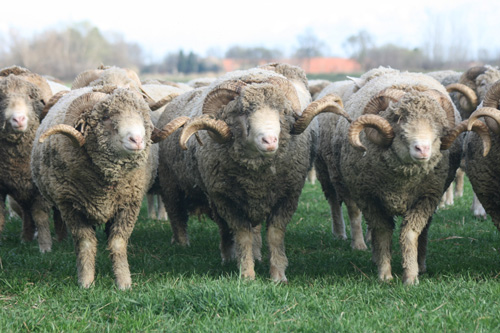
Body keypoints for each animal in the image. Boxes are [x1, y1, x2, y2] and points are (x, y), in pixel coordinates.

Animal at [0, 65, 69, 252]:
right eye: (1, 98)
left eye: (31, 98)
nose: (18, 119)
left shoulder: (39, 189)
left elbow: (40, 216)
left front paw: (45, 247)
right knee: (25, 212)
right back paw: (26, 237)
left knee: (58, 212)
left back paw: (61, 239)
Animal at [30, 85, 176, 288]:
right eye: (106, 117)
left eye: (142, 115)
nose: (137, 140)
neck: (105, 187)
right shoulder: (69, 206)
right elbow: (85, 243)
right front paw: (86, 282)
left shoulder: (129, 205)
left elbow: (117, 242)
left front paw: (123, 282)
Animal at [156, 64, 348, 280]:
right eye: (243, 112)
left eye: (282, 111)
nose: (270, 140)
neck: (258, 176)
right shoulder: (227, 200)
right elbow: (242, 235)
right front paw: (247, 274)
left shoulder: (287, 196)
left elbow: (275, 234)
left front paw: (278, 274)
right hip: (174, 185)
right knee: (185, 217)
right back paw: (207, 251)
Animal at [320, 67, 488, 282]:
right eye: (399, 119)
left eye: (437, 122)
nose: (422, 149)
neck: (403, 182)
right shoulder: (369, 198)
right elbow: (382, 232)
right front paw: (385, 274)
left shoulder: (426, 198)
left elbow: (410, 233)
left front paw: (411, 276)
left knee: (425, 230)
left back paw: (421, 263)